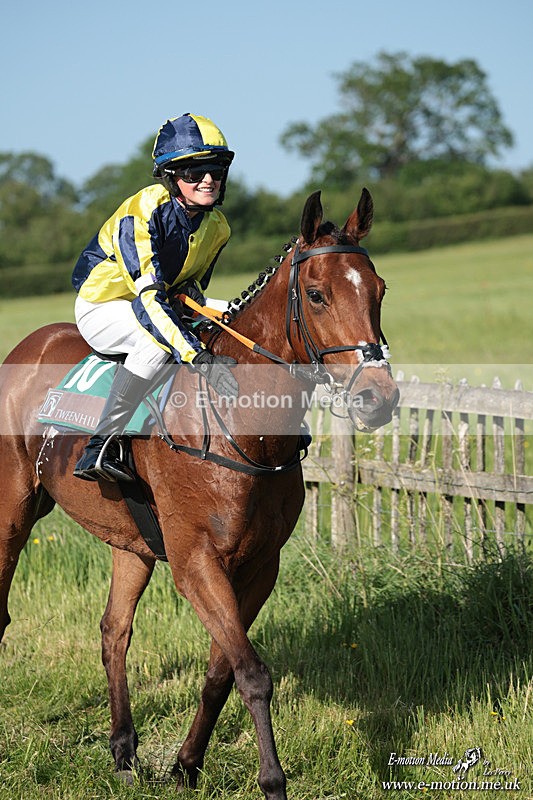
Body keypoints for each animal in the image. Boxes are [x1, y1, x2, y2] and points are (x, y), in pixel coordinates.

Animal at [0, 188, 399, 799]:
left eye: (378, 290)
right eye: (316, 294)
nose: (379, 397)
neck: (243, 427)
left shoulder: (259, 564)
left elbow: (222, 671)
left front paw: (186, 764)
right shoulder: (196, 561)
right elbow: (253, 673)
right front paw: (272, 780)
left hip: (133, 543)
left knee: (114, 631)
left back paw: (124, 749)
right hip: (12, 511)